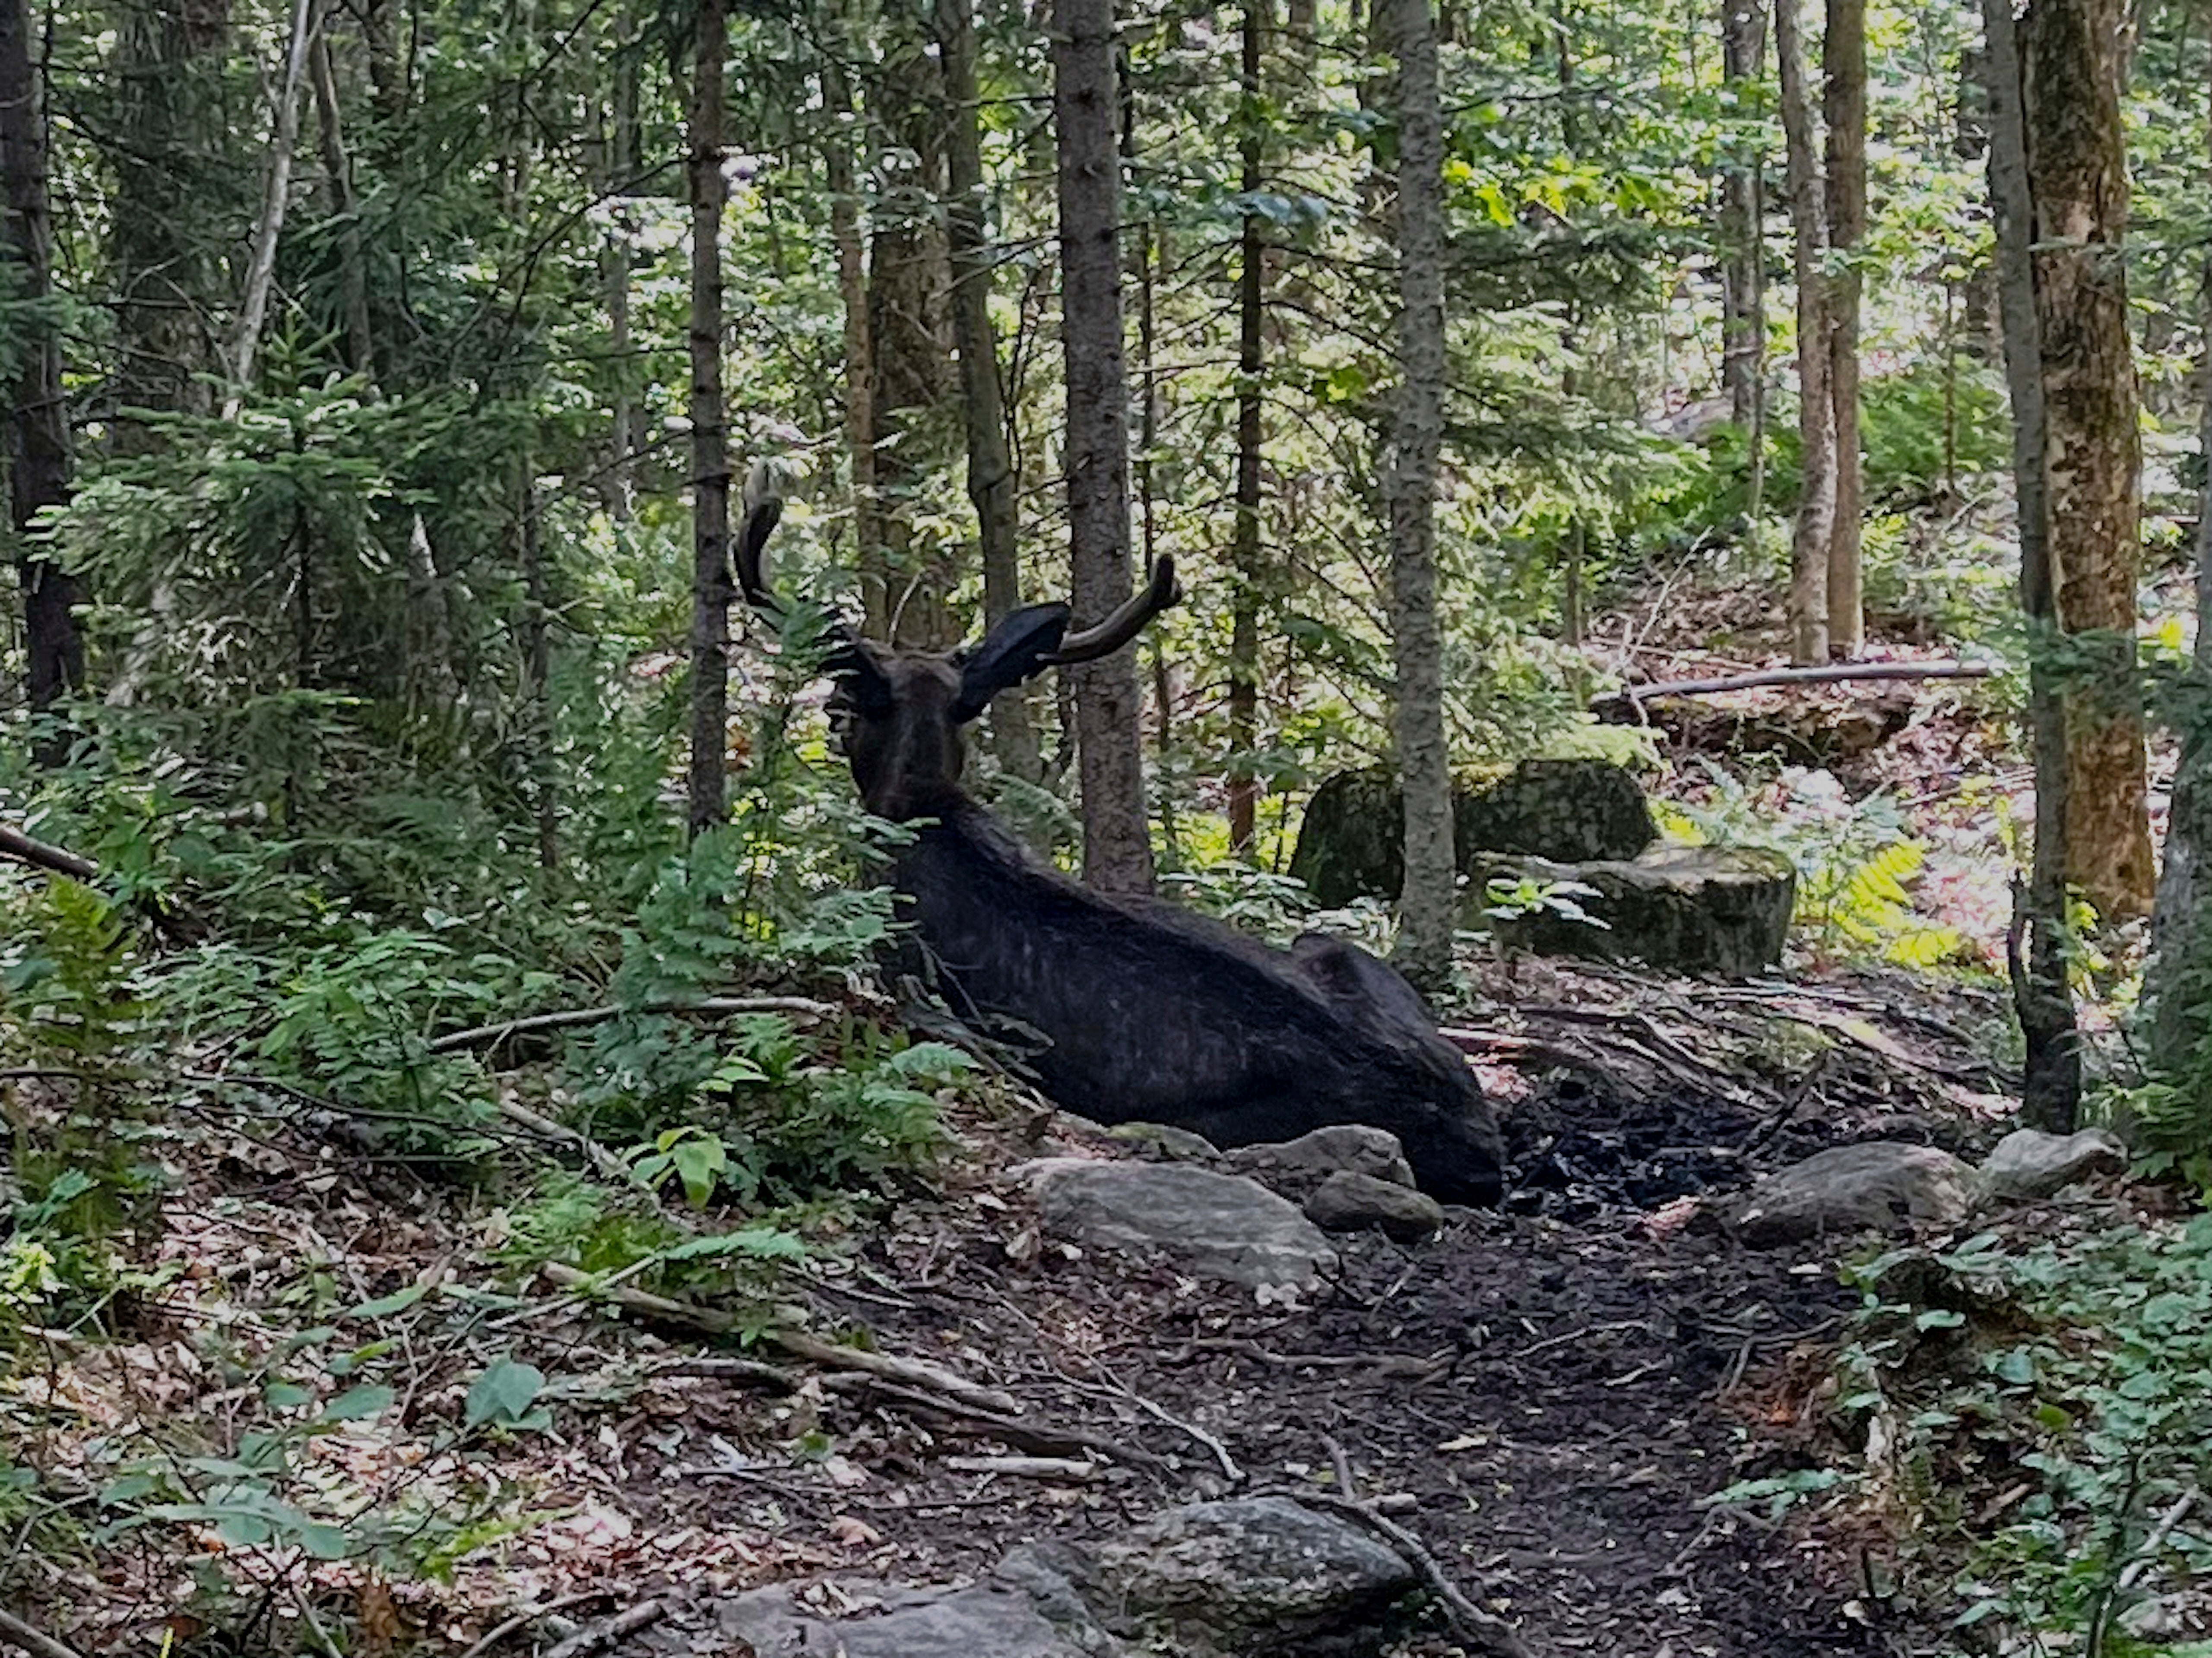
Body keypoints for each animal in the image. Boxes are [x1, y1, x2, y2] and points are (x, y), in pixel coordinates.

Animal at [731, 469, 1504, 1206]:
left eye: (851, 701)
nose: (830, 715)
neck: (918, 806)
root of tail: (1478, 1141)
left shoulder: (893, 961)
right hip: (1336, 949)